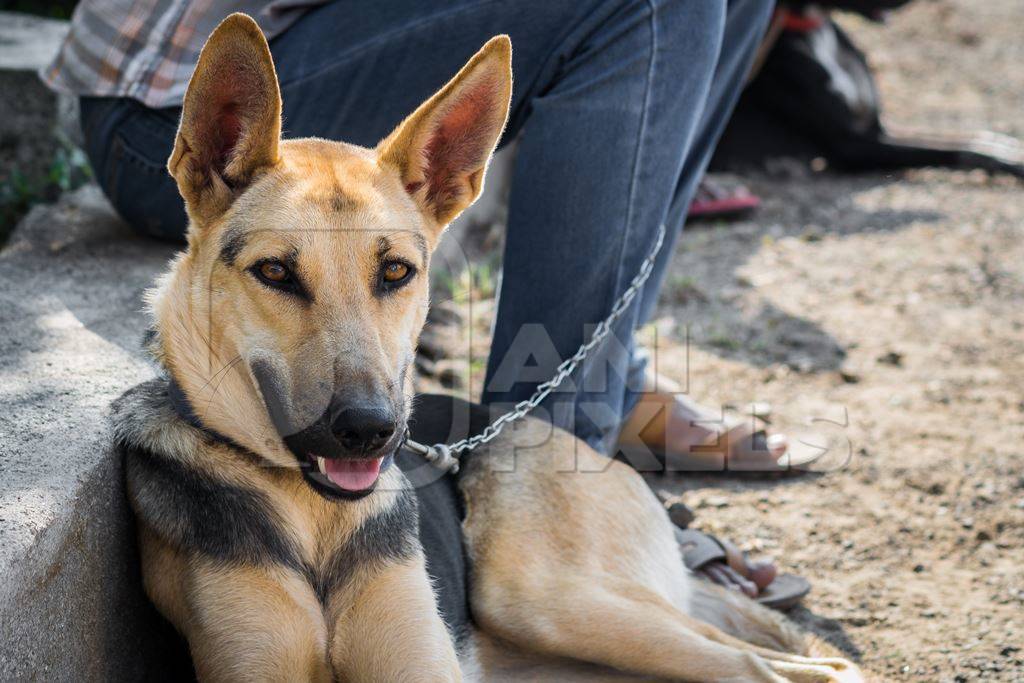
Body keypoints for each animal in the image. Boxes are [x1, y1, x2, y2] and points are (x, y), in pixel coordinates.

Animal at [112, 13, 864, 679]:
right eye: (274, 272)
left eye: (396, 272)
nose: (369, 430)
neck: (315, 518)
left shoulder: (422, 665)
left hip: (545, 596)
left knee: (789, 667)